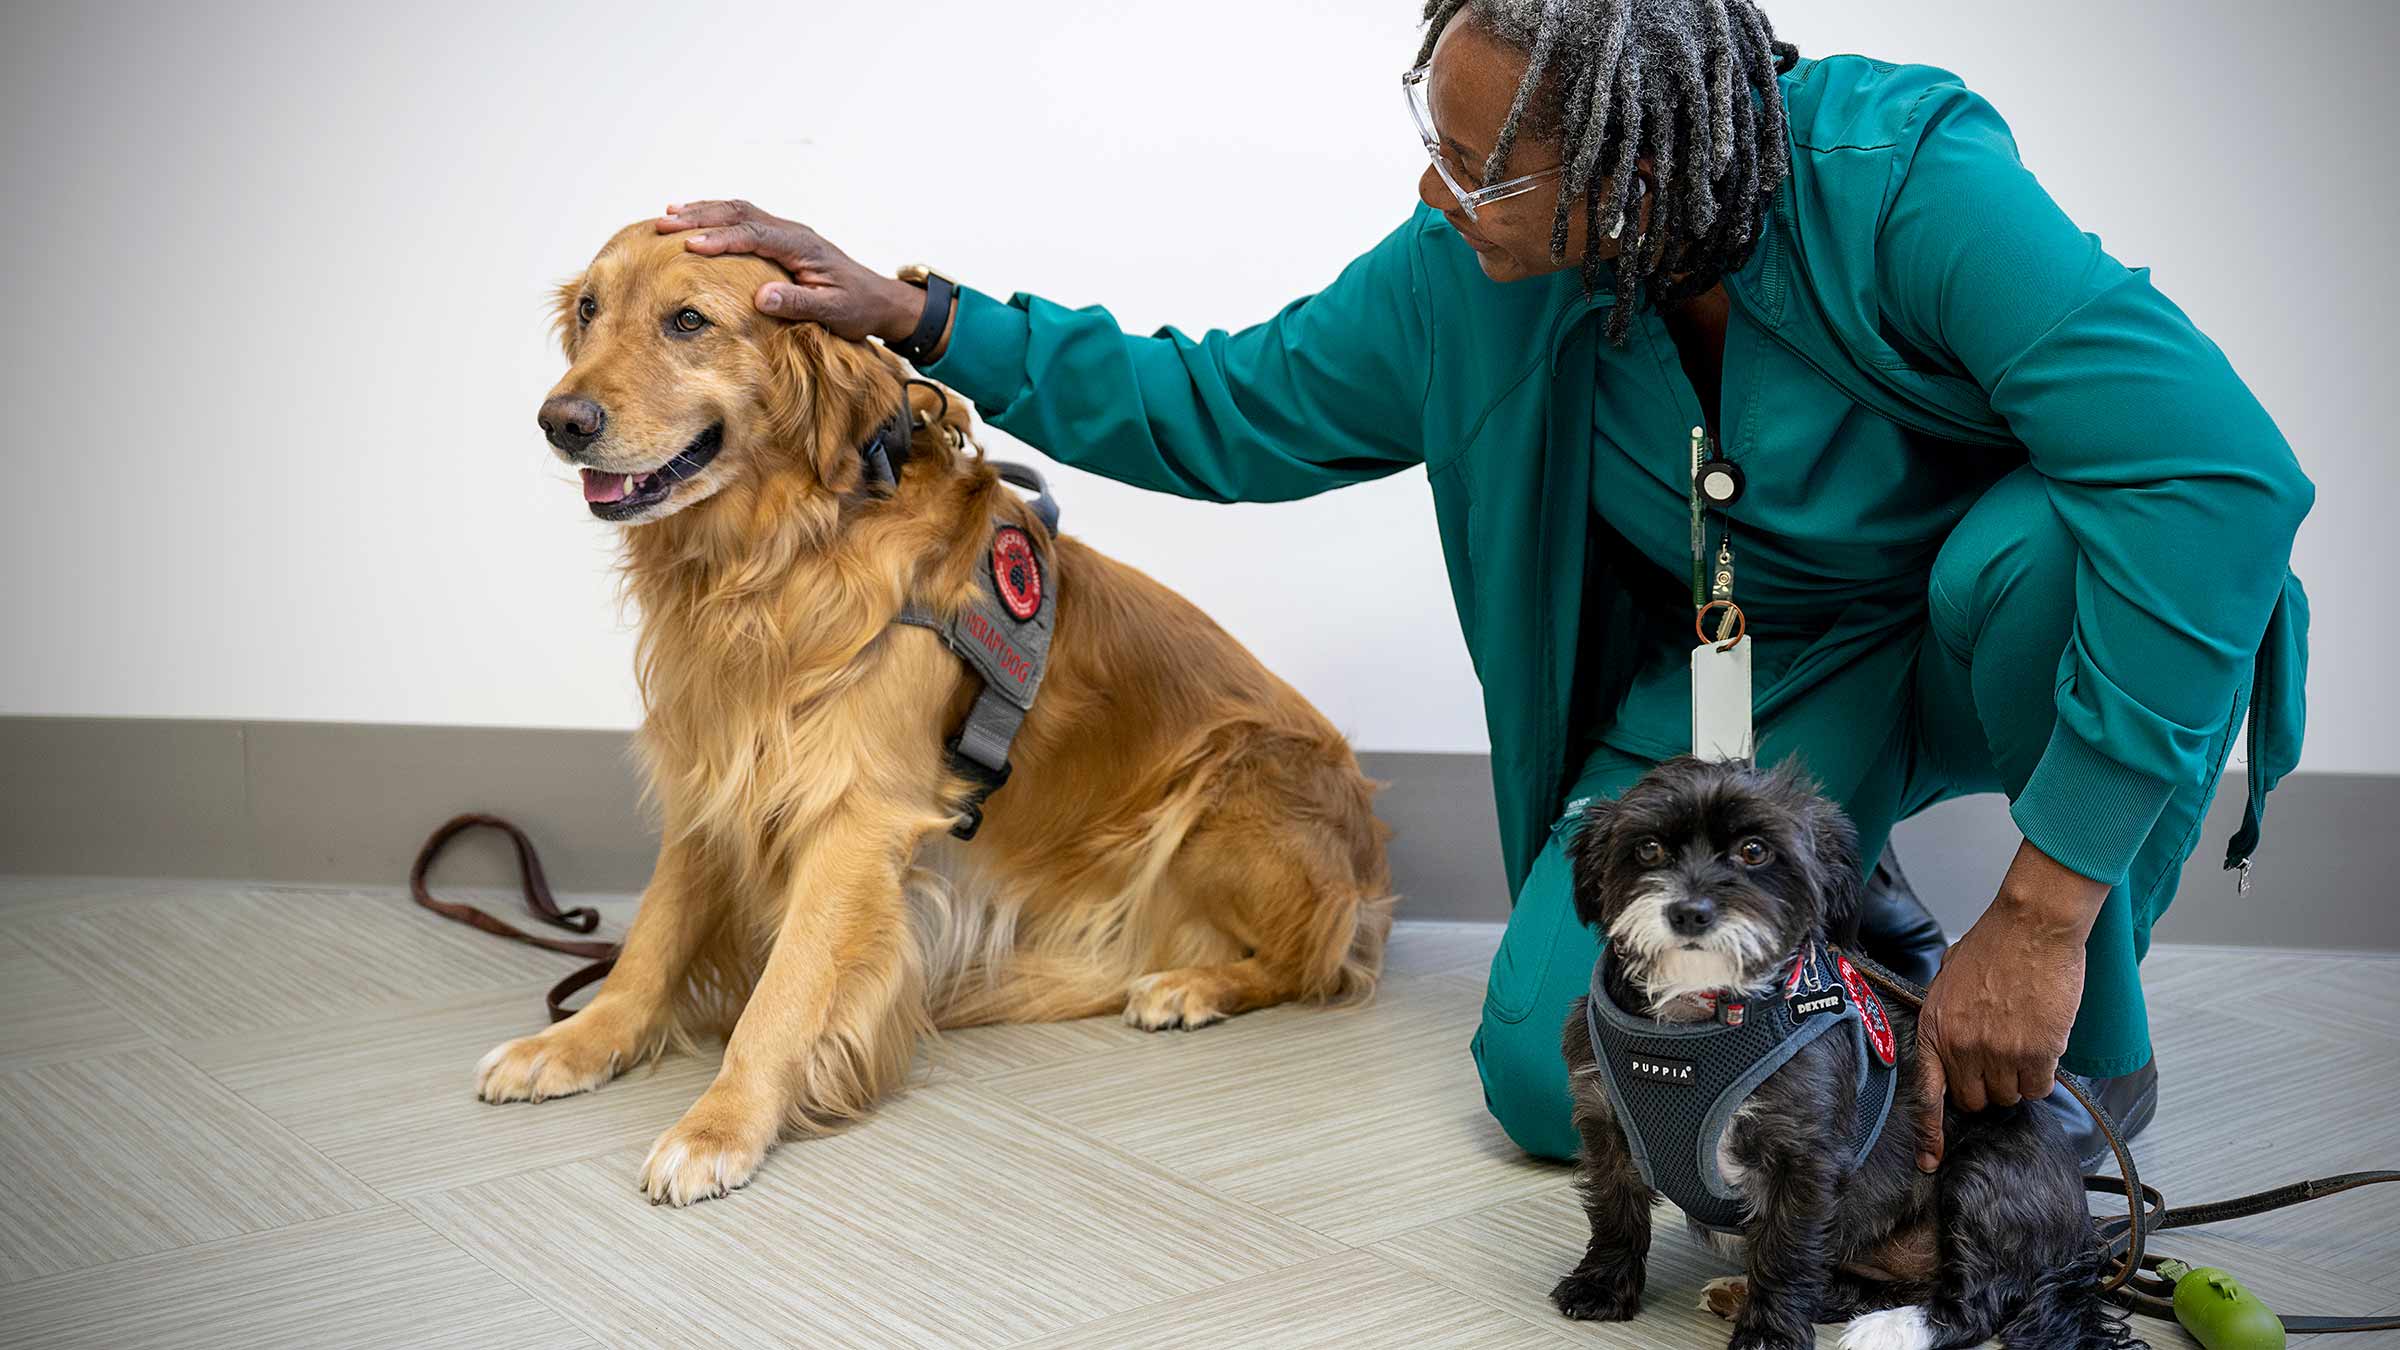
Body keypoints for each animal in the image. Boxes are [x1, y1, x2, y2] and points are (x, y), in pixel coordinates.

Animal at [1555, 759, 2140, 1345]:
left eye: (1754, 851)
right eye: (1649, 848)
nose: (1690, 913)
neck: (1695, 1018)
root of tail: (2083, 1243)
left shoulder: (1803, 1158)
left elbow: (1786, 1252)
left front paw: (1769, 1332)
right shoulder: (1605, 1123)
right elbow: (1615, 1213)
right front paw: (1602, 1286)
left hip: (1983, 1173)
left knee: (1977, 1302)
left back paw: (1892, 1328)